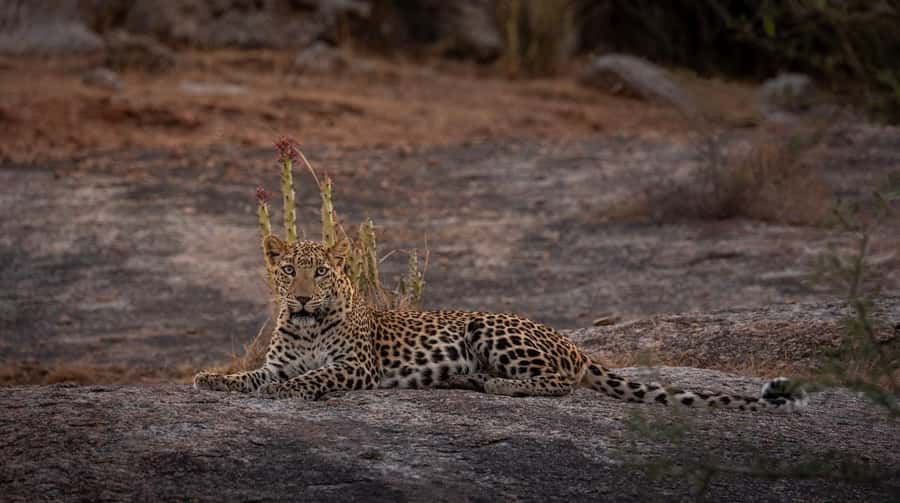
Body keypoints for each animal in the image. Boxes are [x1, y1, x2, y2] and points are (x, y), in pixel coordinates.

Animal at [194, 237, 808, 412]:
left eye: (320, 273)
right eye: (289, 271)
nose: (299, 297)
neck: (305, 326)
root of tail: (570, 340)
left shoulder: (355, 368)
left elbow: (311, 378)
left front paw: (287, 394)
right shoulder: (273, 362)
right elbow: (252, 377)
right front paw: (212, 379)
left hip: (490, 330)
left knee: (560, 383)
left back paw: (495, 384)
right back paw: (472, 380)